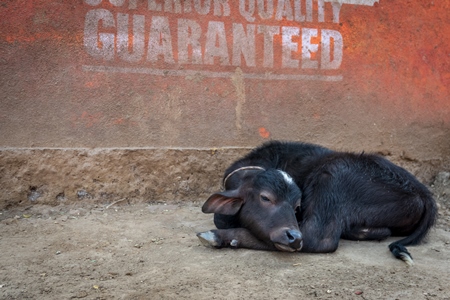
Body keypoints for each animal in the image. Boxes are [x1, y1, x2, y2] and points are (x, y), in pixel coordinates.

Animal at [197, 141, 436, 264]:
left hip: (333, 173)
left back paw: (217, 237)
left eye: (297, 206)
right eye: (265, 197)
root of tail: (422, 193)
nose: (293, 237)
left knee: (318, 239)